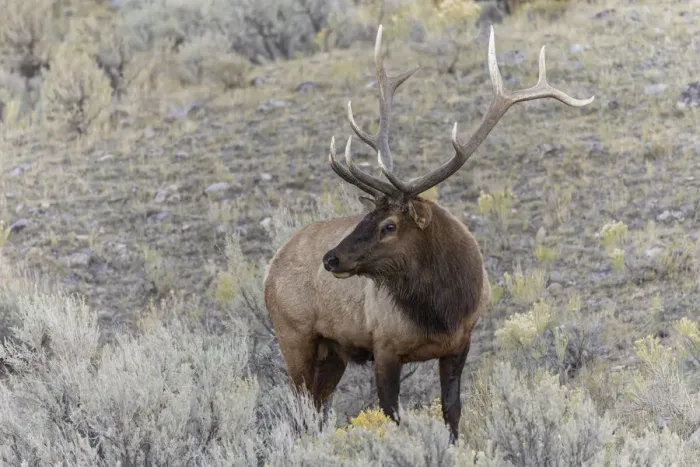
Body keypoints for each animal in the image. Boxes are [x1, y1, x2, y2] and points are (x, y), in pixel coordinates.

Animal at [263, 24, 593, 442]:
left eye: (389, 224)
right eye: (366, 216)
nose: (331, 258)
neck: (442, 309)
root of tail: (270, 267)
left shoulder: (460, 343)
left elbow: (451, 409)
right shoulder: (384, 346)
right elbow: (392, 417)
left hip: (332, 352)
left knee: (316, 409)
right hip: (294, 337)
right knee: (300, 410)